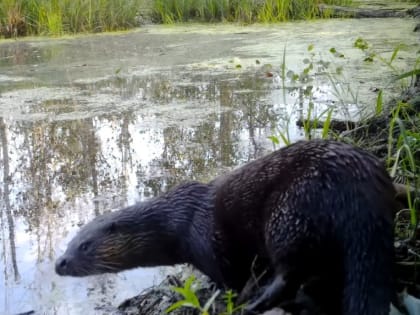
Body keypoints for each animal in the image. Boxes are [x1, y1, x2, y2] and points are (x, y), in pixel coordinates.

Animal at [55, 141, 398, 315]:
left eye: (84, 245)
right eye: (70, 242)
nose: (59, 262)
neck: (178, 222)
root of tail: (363, 189)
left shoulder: (208, 244)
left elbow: (230, 276)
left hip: (289, 214)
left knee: (290, 272)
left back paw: (255, 304)